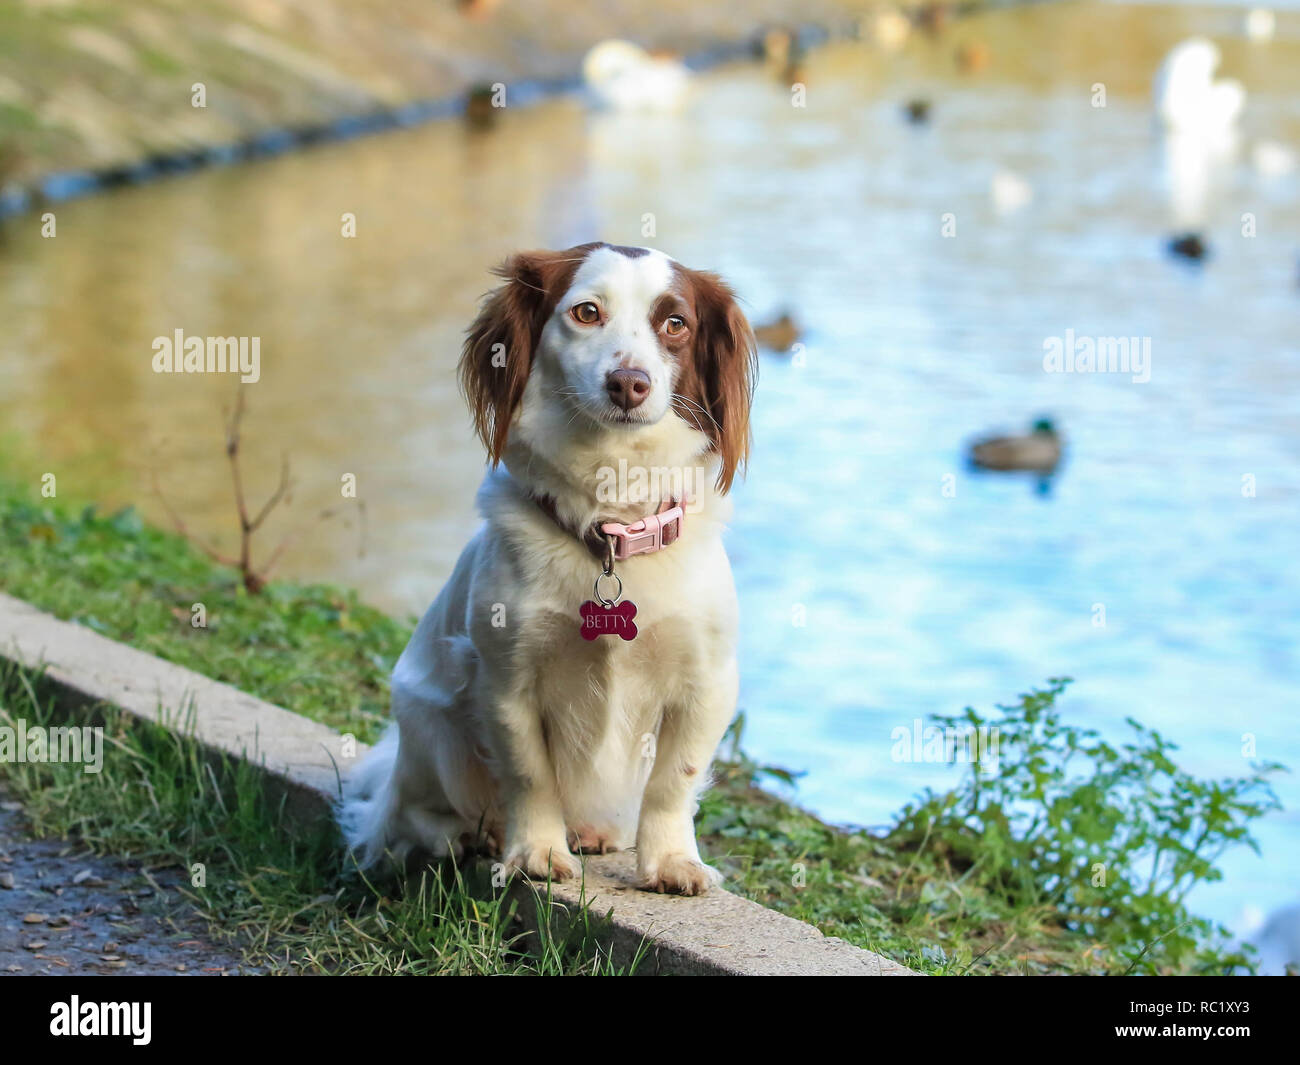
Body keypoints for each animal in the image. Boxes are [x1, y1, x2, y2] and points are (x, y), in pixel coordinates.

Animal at [340, 239, 759, 889]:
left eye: (675, 324)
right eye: (586, 313)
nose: (629, 383)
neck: (610, 527)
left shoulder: (707, 680)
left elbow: (674, 780)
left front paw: (672, 861)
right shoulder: (507, 678)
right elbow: (529, 775)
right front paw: (535, 851)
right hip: (431, 725)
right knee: (411, 816)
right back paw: (471, 833)